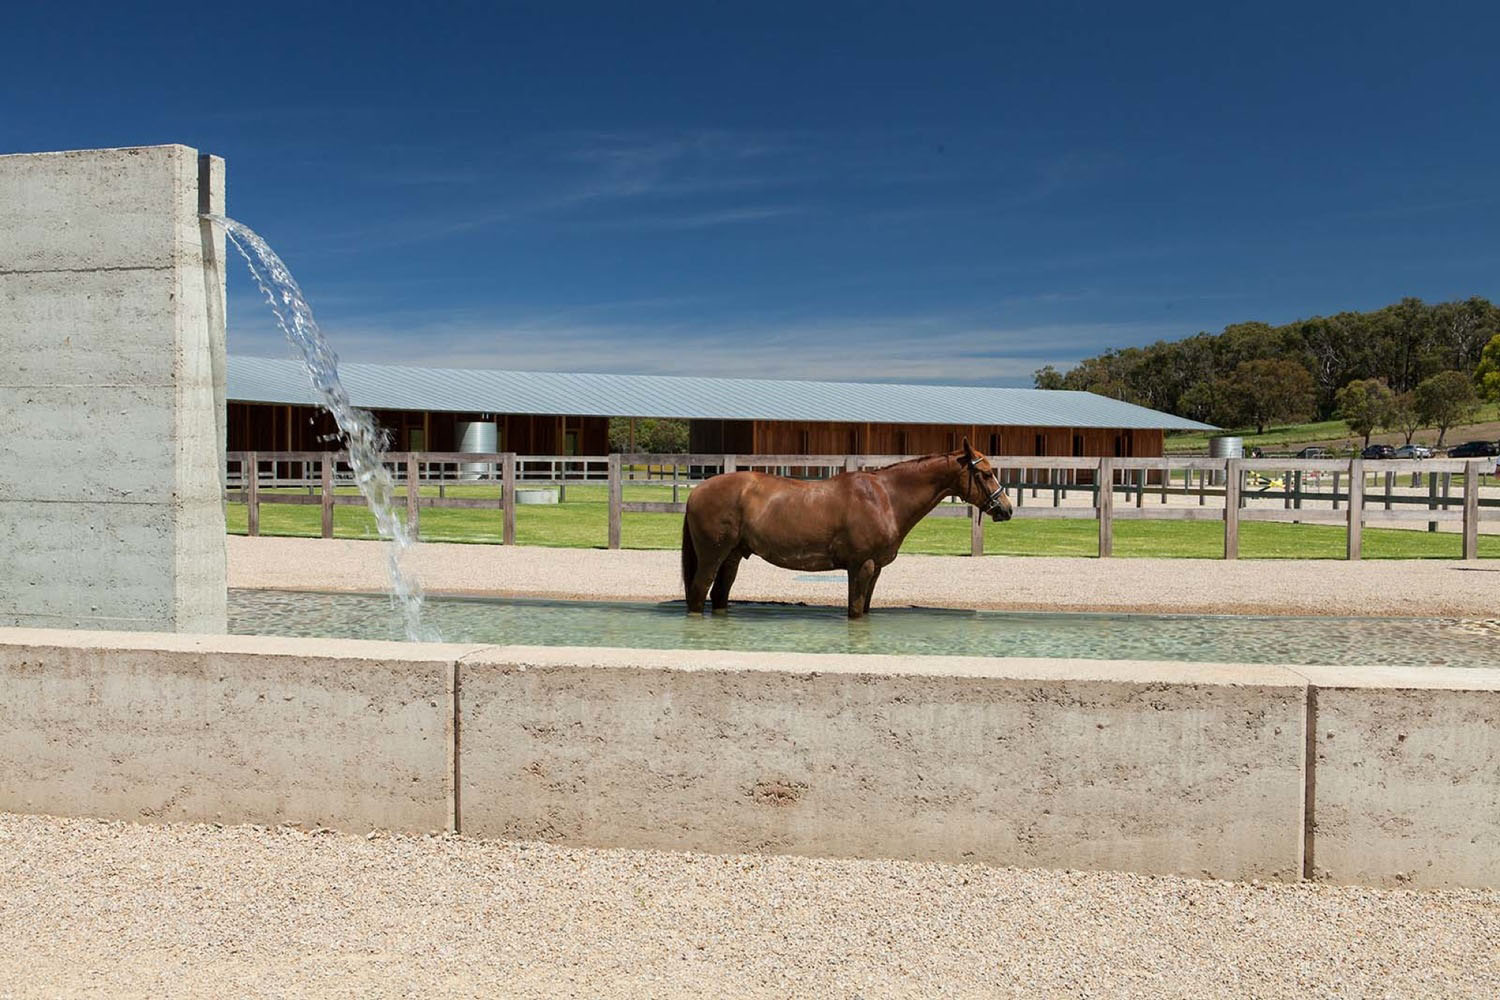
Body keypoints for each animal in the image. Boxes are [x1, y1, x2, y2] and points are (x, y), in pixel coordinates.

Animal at [687, 437, 1014, 617]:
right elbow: (855, 611)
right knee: (699, 591)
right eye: (986, 474)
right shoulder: (861, 566)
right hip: (712, 555)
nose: (1006, 508)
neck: (885, 497)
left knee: (719, 594)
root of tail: (698, 490)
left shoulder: (874, 569)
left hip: (731, 556)